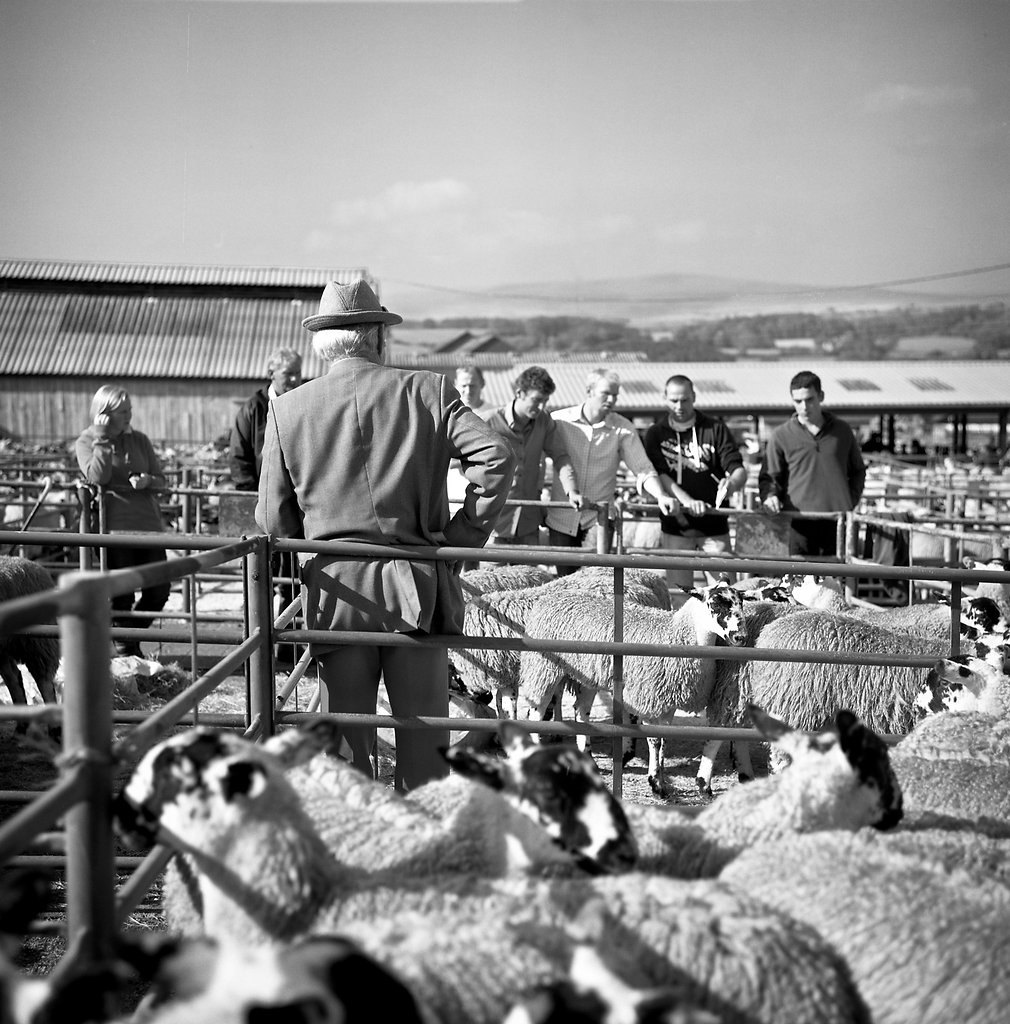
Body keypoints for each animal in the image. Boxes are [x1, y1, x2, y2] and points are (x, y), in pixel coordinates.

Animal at [520, 577, 749, 798]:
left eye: (741, 602)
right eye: (715, 603)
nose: (740, 637)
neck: (678, 635)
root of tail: (550, 598)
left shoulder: (668, 702)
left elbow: (664, 740)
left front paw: (661, 779)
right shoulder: (649, 697)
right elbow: (655, 741)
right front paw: (656, 785)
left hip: (587, 675)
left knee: (581, 712)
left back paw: (587, 761)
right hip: (543, 666)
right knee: (536, 714)